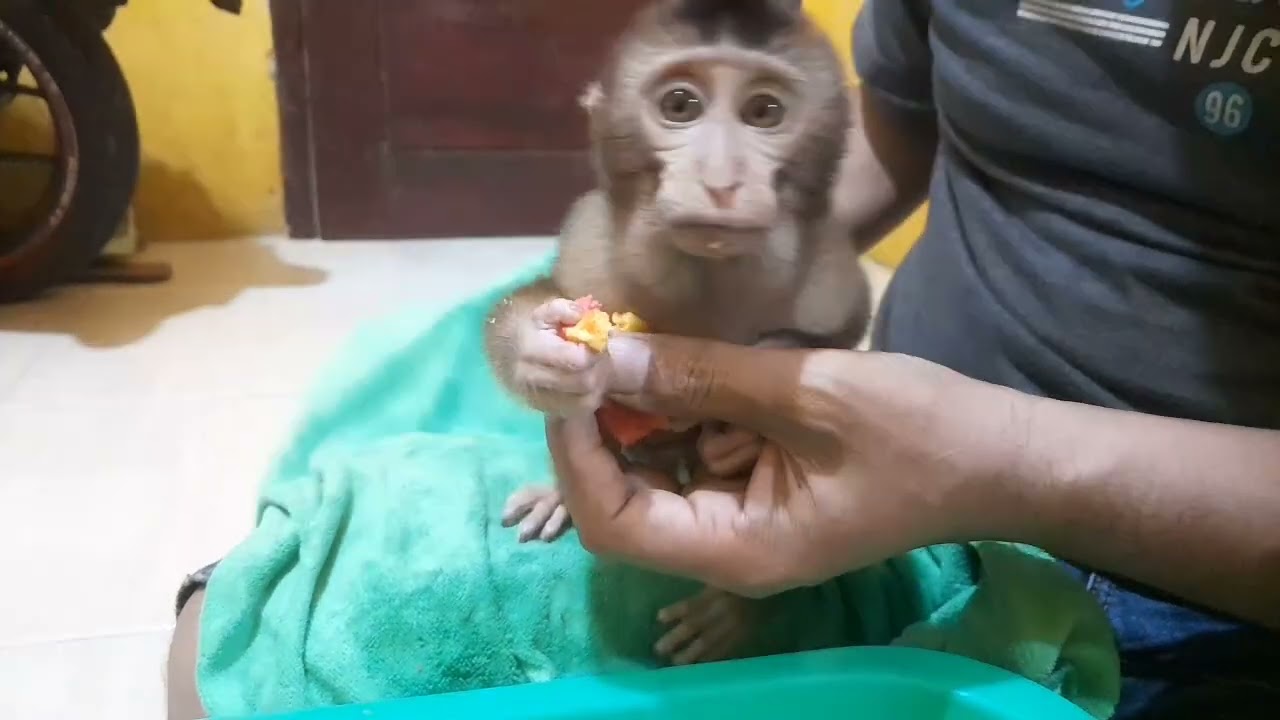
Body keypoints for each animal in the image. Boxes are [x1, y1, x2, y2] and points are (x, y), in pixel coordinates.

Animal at [483, 0, 872, 666]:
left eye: (764, 112)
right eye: (681, 104)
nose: (721, 180)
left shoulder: (830, 272)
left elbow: (846, 330)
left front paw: (748, 423)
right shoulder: (591, 240)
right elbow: (544, 295)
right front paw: (540, 351)